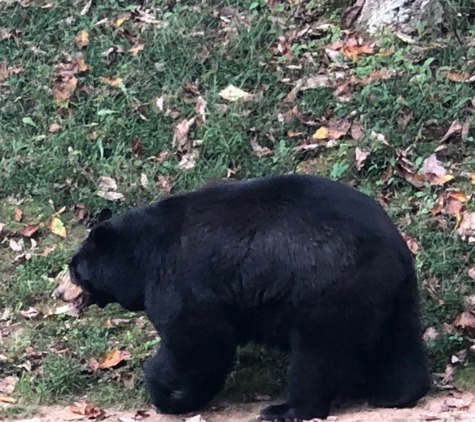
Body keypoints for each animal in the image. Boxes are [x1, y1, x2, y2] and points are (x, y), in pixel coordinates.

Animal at [64, 173, 432, 420]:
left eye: (74, 267)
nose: (62, 289)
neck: (140, 259)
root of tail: (395, 251)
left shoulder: (181, 281)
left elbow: (195, 340)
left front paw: (163, 390)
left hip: (328, 291)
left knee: (316, 358)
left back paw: (286, 409)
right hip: (391, 295)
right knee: (400, 343)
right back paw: (396, 394)